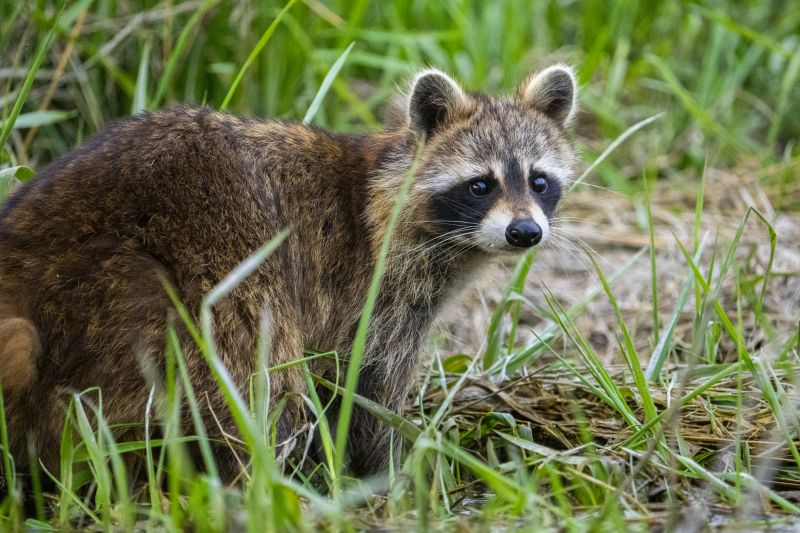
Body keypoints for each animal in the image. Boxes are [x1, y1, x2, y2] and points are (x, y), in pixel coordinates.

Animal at [0, 65, 578, 481]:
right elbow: (364, 390)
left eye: (539, 181)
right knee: (260, 377)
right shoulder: (375, 290)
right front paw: (391, 473)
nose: (525, 232)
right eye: (480, 185)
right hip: (201, 279)